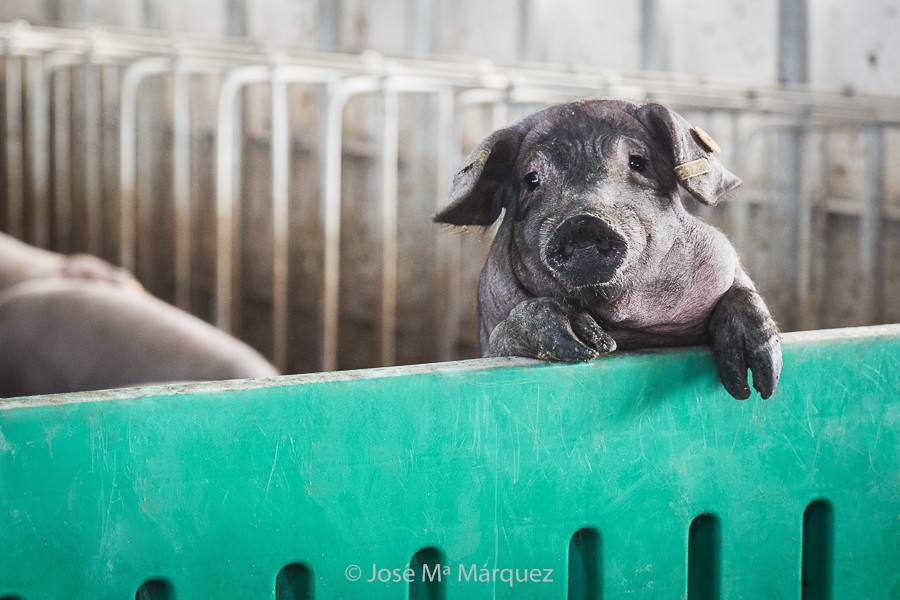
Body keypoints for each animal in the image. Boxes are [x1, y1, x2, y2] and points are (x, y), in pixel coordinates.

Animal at [434, 98, 780, 400]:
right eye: (531, 180)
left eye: (638, 163)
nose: (582, 222)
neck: (624, 324)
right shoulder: (491, 343)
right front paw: (588, 345)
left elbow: (741, 290)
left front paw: (757, 387)